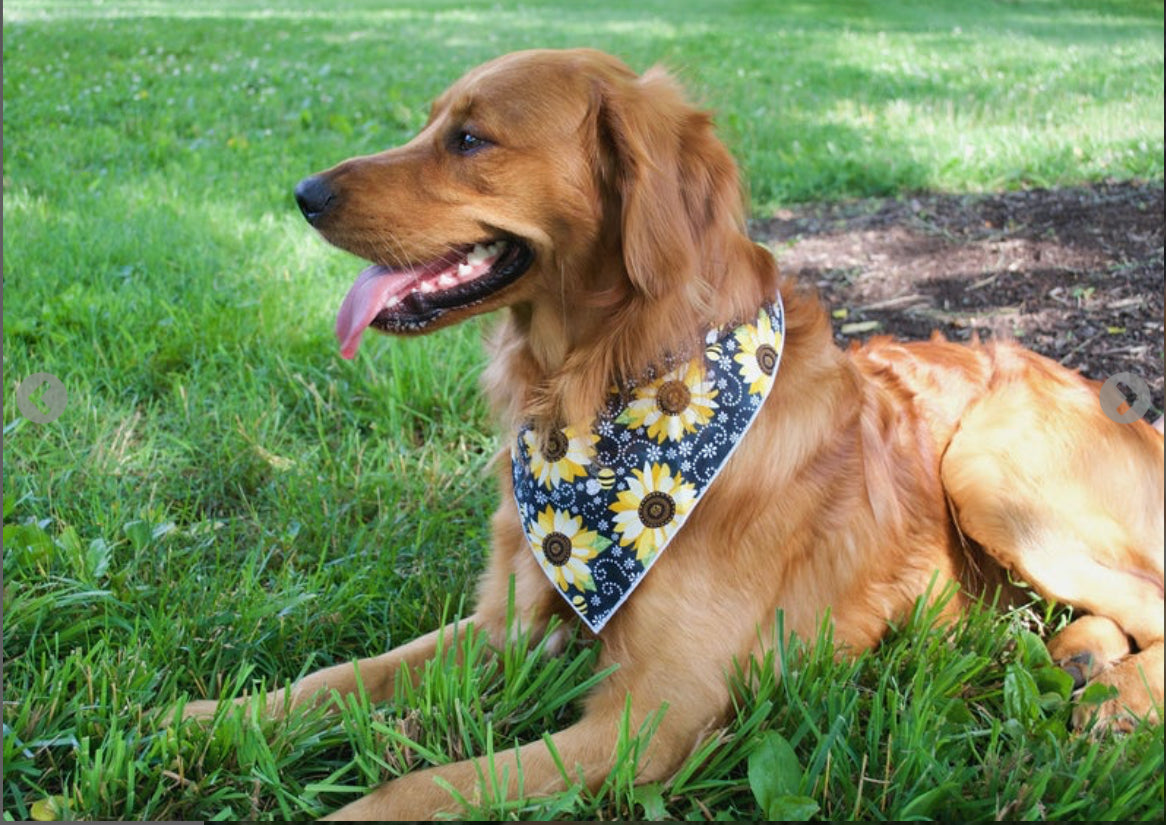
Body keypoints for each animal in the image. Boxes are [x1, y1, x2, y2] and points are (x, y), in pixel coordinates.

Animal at [179, 49, 1156, 820]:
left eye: (471, 140)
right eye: (429, 126)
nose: (303, 194)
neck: (603, 396)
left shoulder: (648, 718)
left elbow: (419, 784)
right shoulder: (502, 628)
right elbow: (344, 675)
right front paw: (206, 719)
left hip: (989, 469)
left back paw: (1117, 699)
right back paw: (1079, 656)